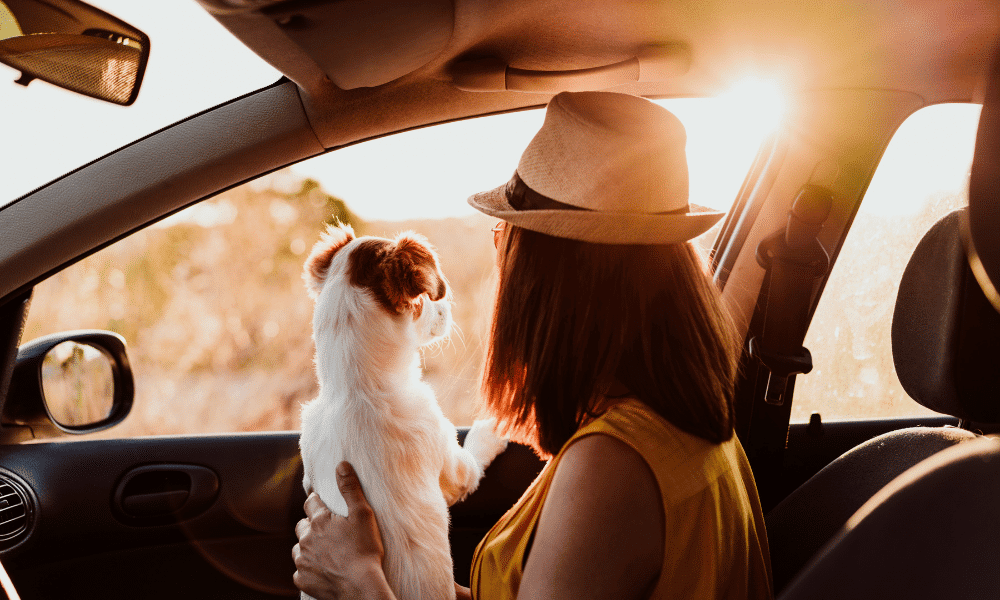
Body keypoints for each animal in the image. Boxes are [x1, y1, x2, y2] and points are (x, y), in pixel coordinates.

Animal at [294, 223, 500, 596]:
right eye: (428, 299)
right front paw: (491, 428)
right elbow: (475, 454)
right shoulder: (454, 468)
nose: (448, 307)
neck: (358, 390)